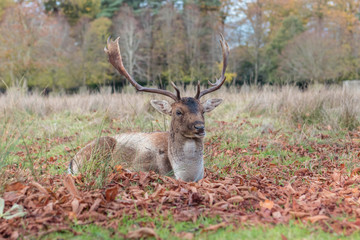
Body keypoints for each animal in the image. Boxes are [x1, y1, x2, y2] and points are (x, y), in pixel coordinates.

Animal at [67, 33, 229, 182]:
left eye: (203, 111)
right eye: (178, 112)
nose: (200, 127)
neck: (185, 176)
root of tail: (72, 160)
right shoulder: (140, 166)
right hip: (101, 146)